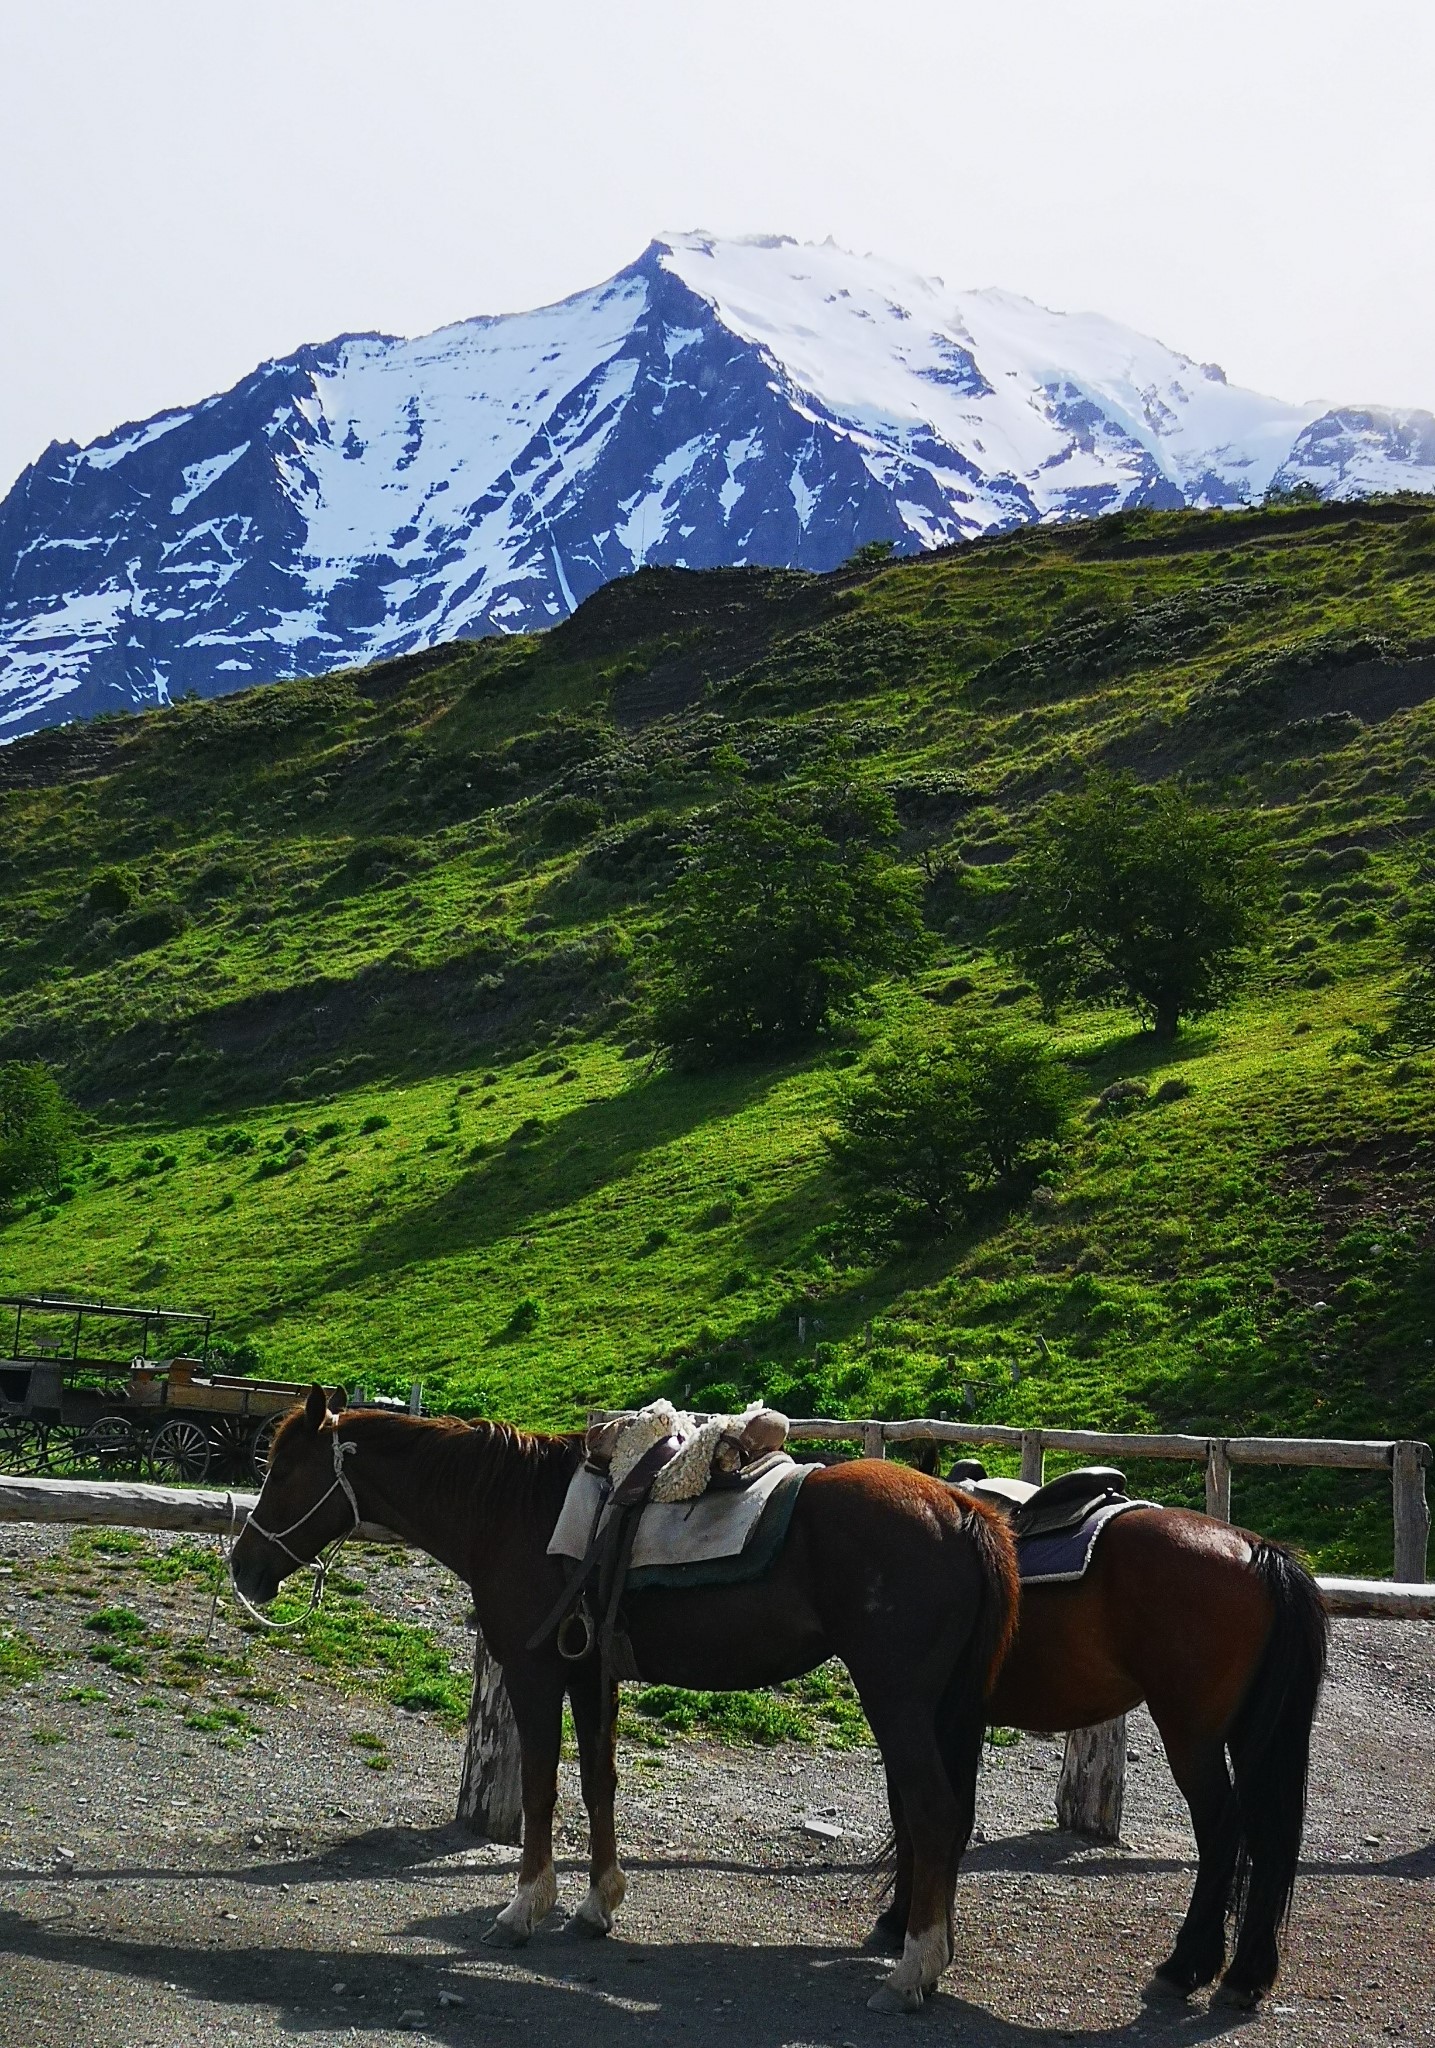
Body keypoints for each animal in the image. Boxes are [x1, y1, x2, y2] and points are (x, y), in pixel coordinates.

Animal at [229, 1392, 1019, 2015]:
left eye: (282, 1472)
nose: (243, 1567)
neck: (513, 1509)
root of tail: (960, 1508)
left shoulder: (535, 1671)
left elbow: (541, 1787)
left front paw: (523, 1909)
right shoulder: (590, 1672)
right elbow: (597, 1784)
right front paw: (595, 1904)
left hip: (897, 1700)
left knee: (931, 1813)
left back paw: (909, 1972)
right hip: (939, 1710)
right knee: (944, 1818)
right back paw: (928, 1956)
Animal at [872, 1499, 1318, 2007]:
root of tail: (1257, 1551)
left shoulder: (910, 1713)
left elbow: (913, 1816)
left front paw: (898, 1923)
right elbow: (946, 1819)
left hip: (1193, 1739)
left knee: (1221, 1833)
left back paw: (1185, 1965)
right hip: (1251, 1738)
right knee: (1267, 1837)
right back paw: (1247, 1974)